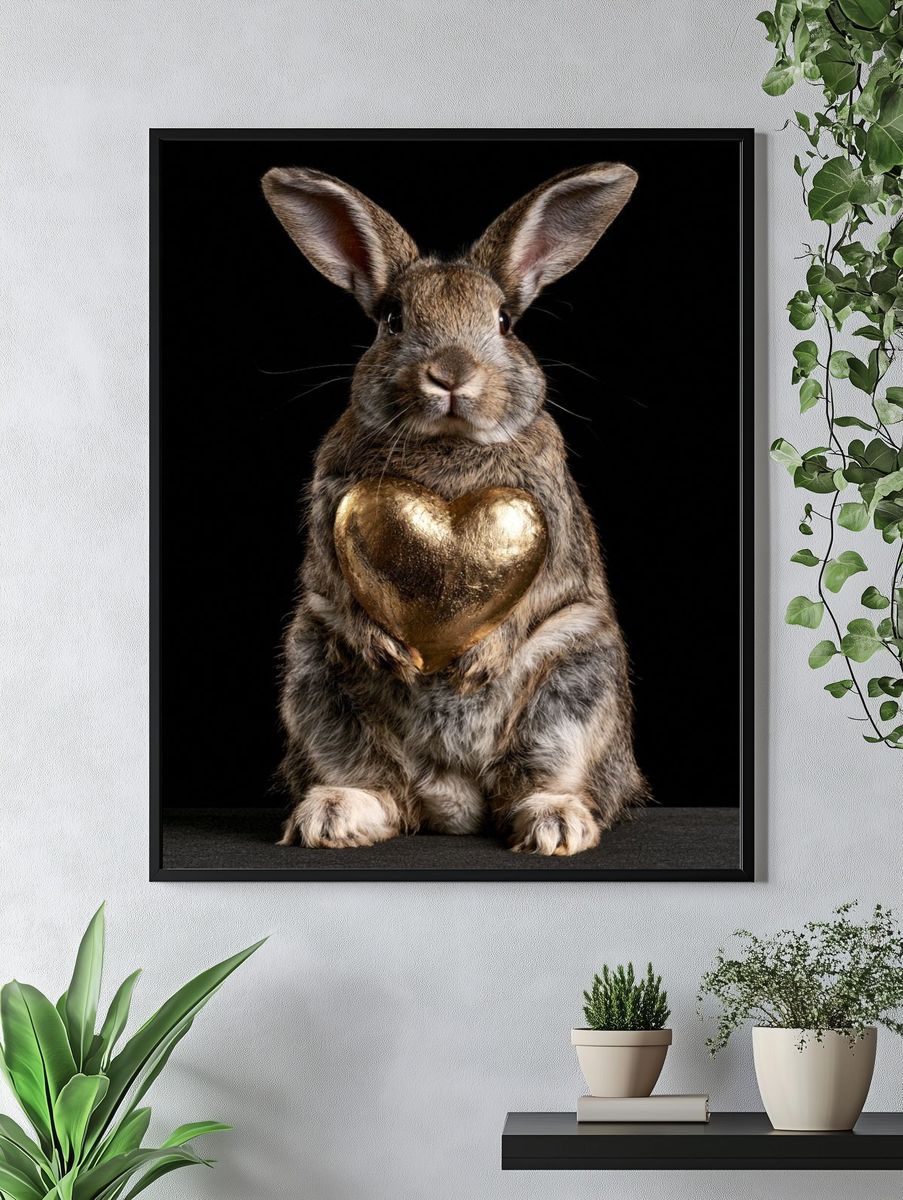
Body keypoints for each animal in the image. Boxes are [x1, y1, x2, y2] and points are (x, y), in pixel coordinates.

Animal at [262, 160, 650, 856]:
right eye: (391, 319)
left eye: (504, 322)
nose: (450, 373)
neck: (448, 446)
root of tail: (452, 798)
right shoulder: (329, 519)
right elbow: (335, 582)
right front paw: (388, 649)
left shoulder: (551, 525)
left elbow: (534, 595)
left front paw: (478, 662)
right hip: (314, 676)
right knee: (380, 787)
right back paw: (333, 814)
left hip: (578, 682)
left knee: (547, 779)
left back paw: (555, 824)